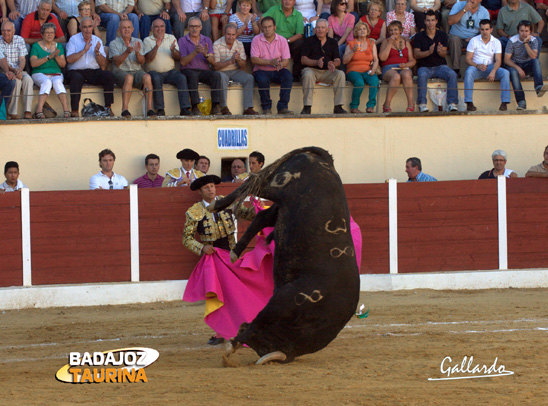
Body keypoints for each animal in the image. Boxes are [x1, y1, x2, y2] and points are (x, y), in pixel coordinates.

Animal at [209, 147, 360, 364]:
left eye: (263, 347)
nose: (241, 329)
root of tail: (324, 160)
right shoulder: (281, 302)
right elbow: (259, 320)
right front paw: (232, 346)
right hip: (279, 185)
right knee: (252, 183)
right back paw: (215, 205)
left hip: (284, 205)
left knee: (262, 215)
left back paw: (235, 252)